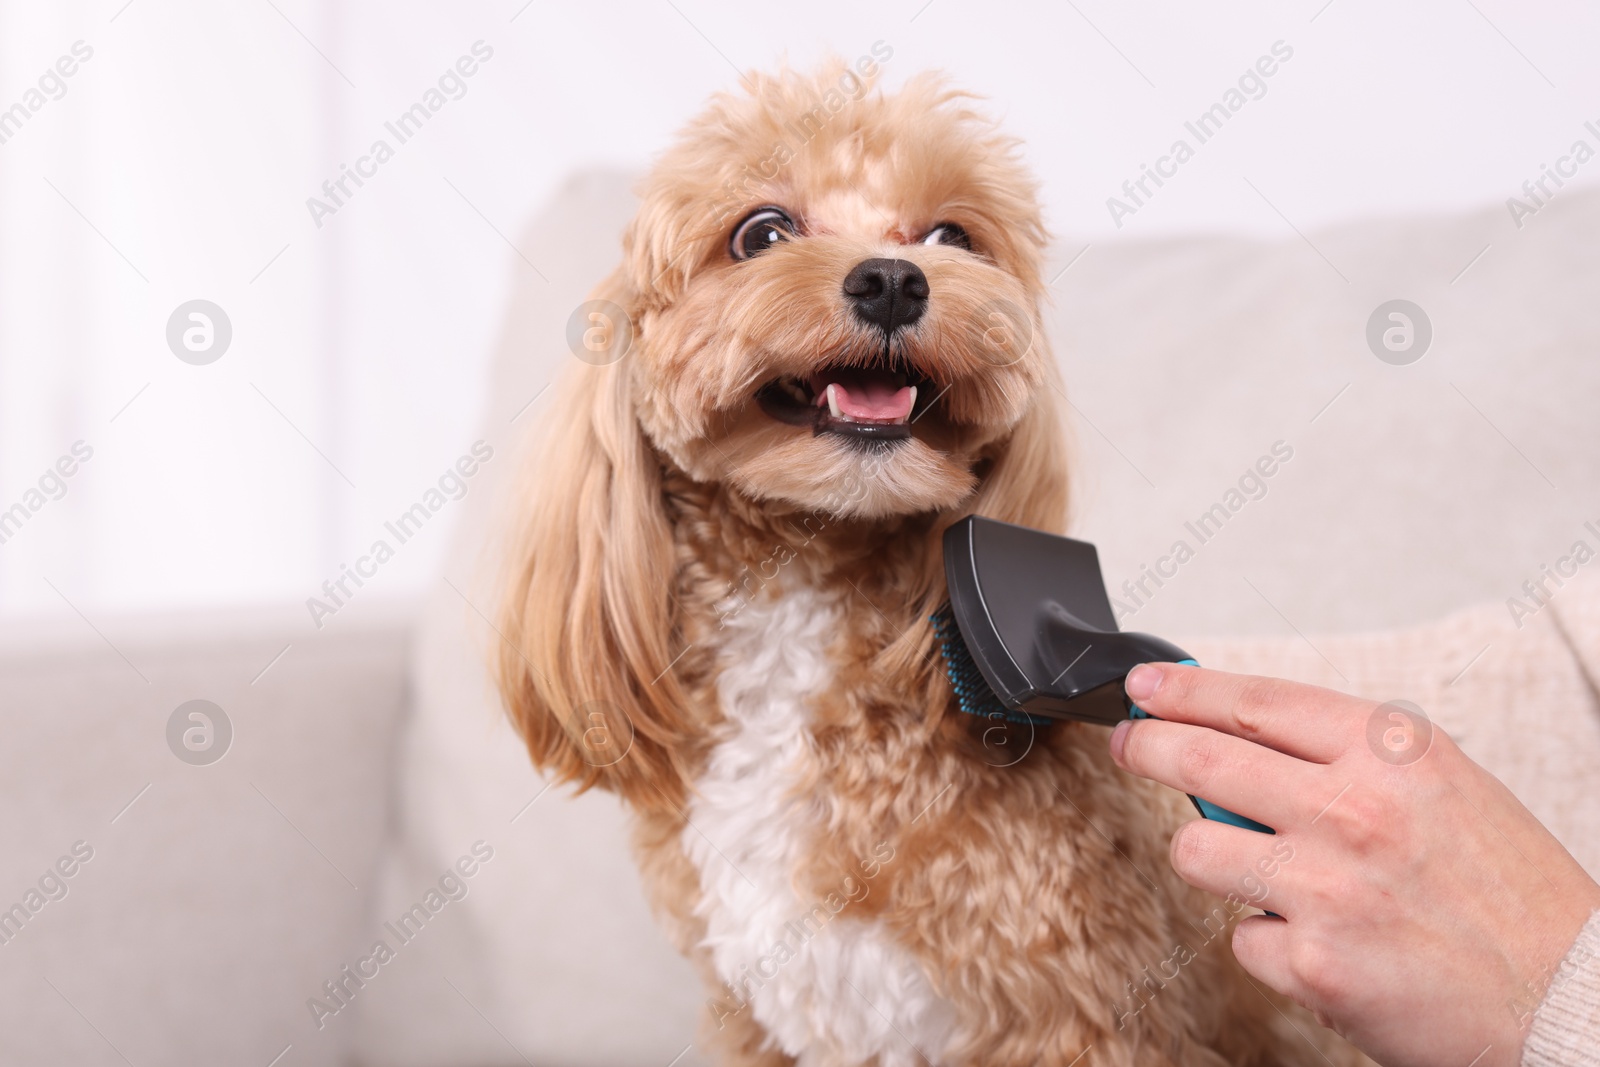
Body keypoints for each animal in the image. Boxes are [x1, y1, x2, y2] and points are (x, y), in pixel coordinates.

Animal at [492, 60, 1356, 1067]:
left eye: (952, 236)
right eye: (760, 233)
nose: (893, 280)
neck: (800, 616)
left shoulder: (1079, 1006)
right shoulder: (756, 1017)